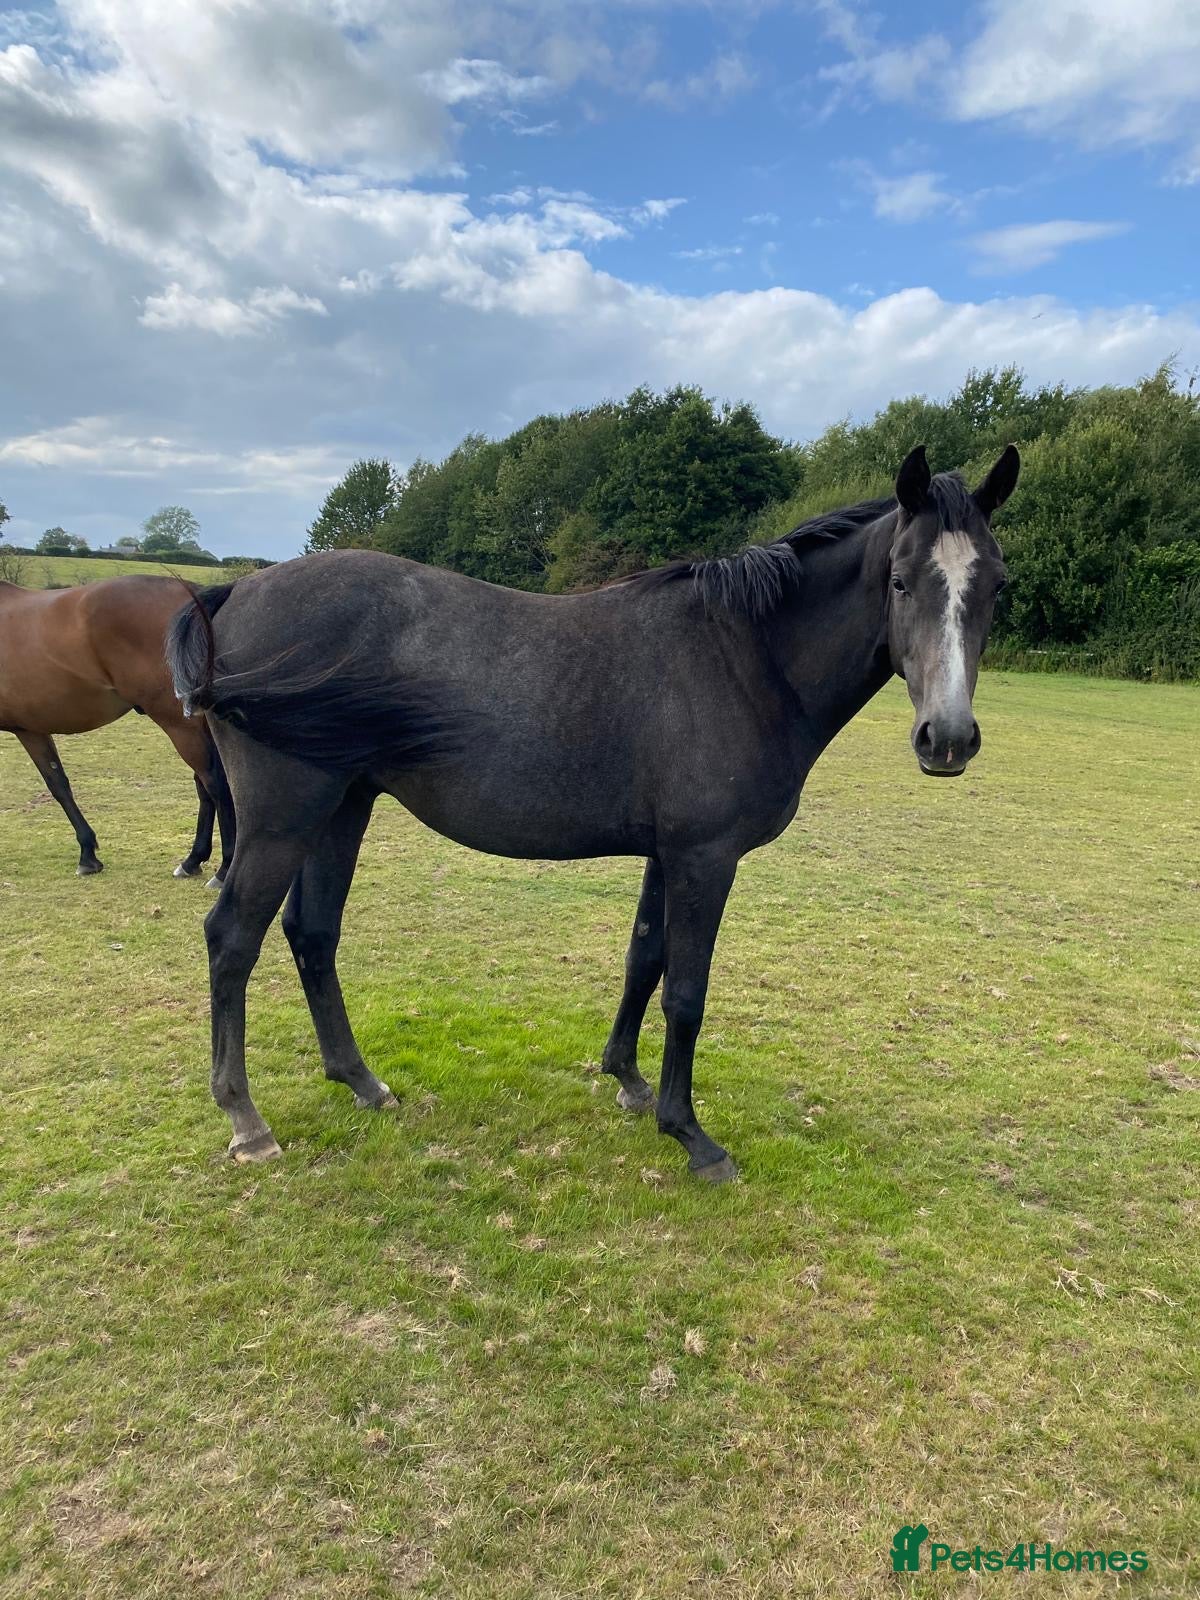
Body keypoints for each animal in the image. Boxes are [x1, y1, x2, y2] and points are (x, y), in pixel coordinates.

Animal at [0, 574, 235, 880]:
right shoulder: (31, 729)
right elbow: (59, 784)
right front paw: (88, 854)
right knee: (204, 784)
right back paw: (192, 860)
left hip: (180, 725)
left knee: (214, 782)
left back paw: (224, 869)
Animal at [167, 443, 1018, 1178]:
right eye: (901, 581)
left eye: (996, 585)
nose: (947, 738)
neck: (743, 657)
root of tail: (236, 591)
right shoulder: (705, 858)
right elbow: (686, 992)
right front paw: (691, 1134)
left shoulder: (668, 853)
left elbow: (644, 959)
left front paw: (629, 1081)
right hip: (284, 819)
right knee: (232, 939)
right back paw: (246, 1119)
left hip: (342, 807)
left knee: (312, 934)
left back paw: (362, 1082)